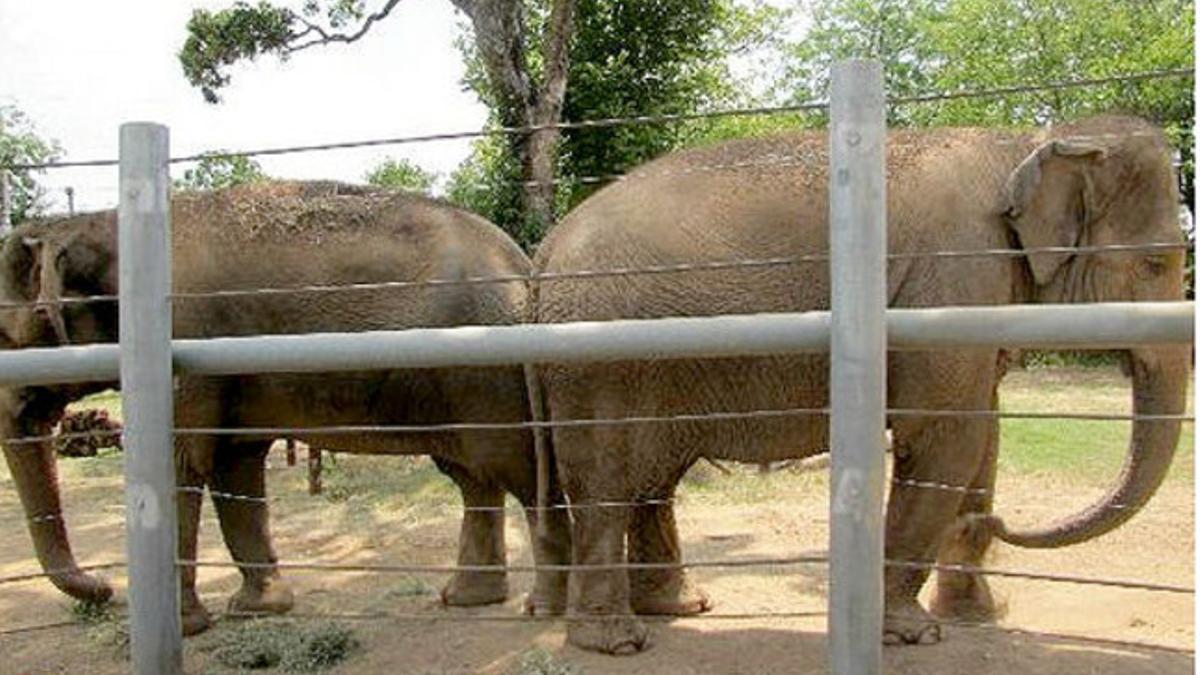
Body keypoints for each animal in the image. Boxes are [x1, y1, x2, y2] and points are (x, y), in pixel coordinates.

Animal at [0, 181, 571, 634]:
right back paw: (467, 599)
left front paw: (187, 628)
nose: (103, 588)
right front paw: (259, 609)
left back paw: (542, 609)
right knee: (472, 477)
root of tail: (524, 265)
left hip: (490, 378)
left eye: (7, 337)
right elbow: (235, 469)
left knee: (518, 472)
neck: (95, 222)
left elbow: (182, 466)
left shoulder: (185, 347)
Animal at [535, 115, 1190, 653]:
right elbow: (946, 438)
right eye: (1157, 262)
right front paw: (911, 632)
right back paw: (617, 640)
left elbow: (984, 434)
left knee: (654, 478)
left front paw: (976, 614)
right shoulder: (955, 276)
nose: (1002, 526)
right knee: (607, 479)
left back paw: (679, 607)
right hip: (598, 363)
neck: (1025, 142)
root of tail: (546, 249)